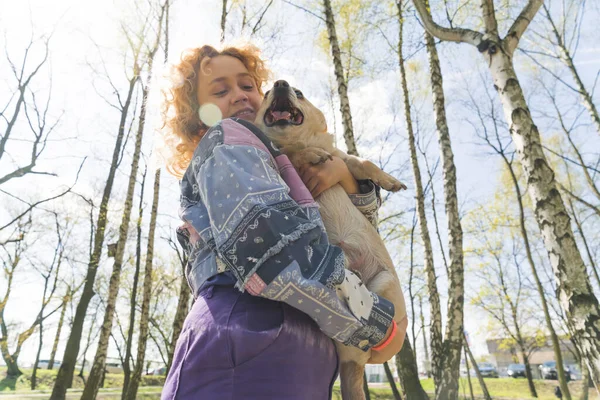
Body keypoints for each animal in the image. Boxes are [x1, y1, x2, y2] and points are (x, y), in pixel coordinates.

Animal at [255, 79, 410, 398]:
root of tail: (357, 361)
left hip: (382, 281)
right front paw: (308, 155)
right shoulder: (286, 158)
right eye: (265, 94)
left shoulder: (344, 159)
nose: (280, 83)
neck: (302, 141)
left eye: (299, 93)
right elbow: (290, 155)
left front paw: (389, 181)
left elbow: (363, 163)